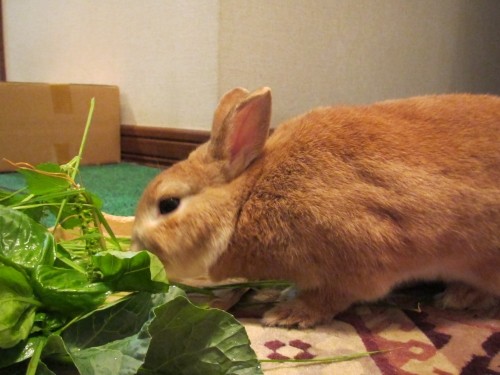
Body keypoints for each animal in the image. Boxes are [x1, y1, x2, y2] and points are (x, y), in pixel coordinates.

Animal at [133, 86, 500, 328]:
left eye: (168, 204)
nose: (136, 243)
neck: (245, 204)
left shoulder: (358, 261)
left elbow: (333, 296)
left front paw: (288, 314)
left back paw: (459, 297)